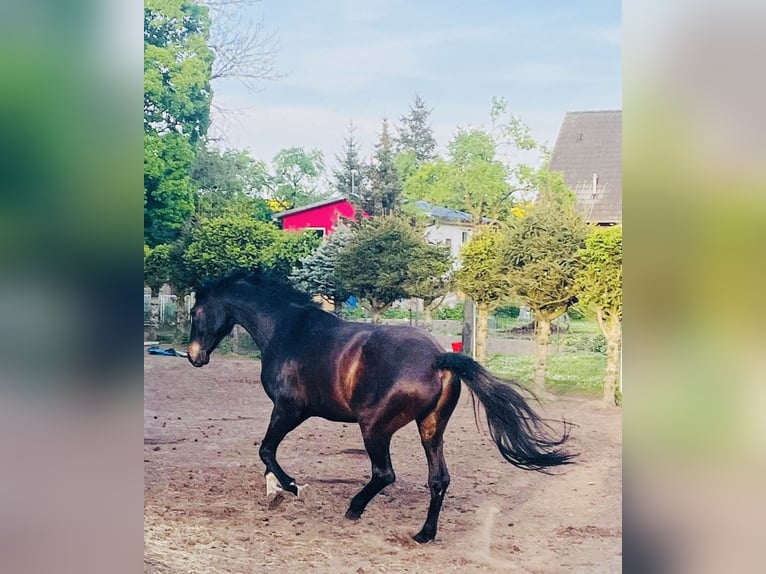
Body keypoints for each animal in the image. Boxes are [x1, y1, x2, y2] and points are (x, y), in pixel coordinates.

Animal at [186, 270, 574, 543]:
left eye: (195, 311)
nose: (194, 356)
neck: (287, 331)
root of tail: (437, 358)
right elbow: (267, 453)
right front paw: (277, 491)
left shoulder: (289, 410)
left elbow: (266, 450)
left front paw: (293, 488)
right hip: (430, 428)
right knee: (439, 479)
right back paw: (424, 534)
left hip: (374, 427)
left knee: (384, 473)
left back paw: (354, 509)